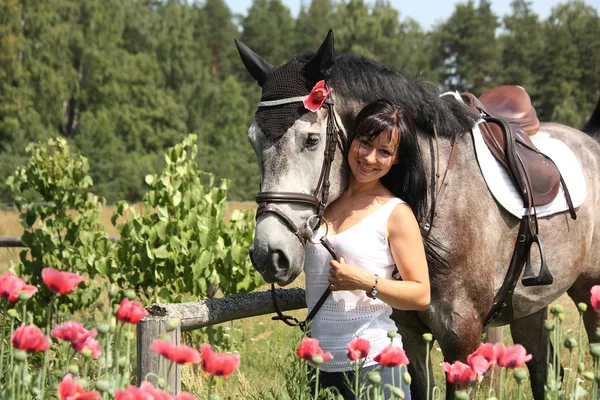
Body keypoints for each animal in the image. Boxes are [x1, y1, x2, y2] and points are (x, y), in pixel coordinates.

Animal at [234, 32, 600, 400]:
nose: (269, 254)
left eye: (311, 139)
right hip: (530, 308)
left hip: (590, 294)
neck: (435, 198)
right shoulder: (408, 333)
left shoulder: (462, 335)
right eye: (252, 141)